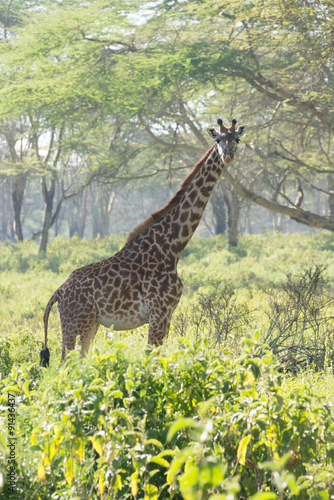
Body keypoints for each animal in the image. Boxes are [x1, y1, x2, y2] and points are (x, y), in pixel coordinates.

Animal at [40, 117, 247, 368]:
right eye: (218, 139)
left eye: (236, 139)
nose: (228, 155)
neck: (173, 246)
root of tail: (59, 291)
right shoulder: (158, 312)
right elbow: (151, 360)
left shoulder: (167, 314)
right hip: (75, 324)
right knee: (64, 364)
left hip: (91, 324)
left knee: (78, 362)